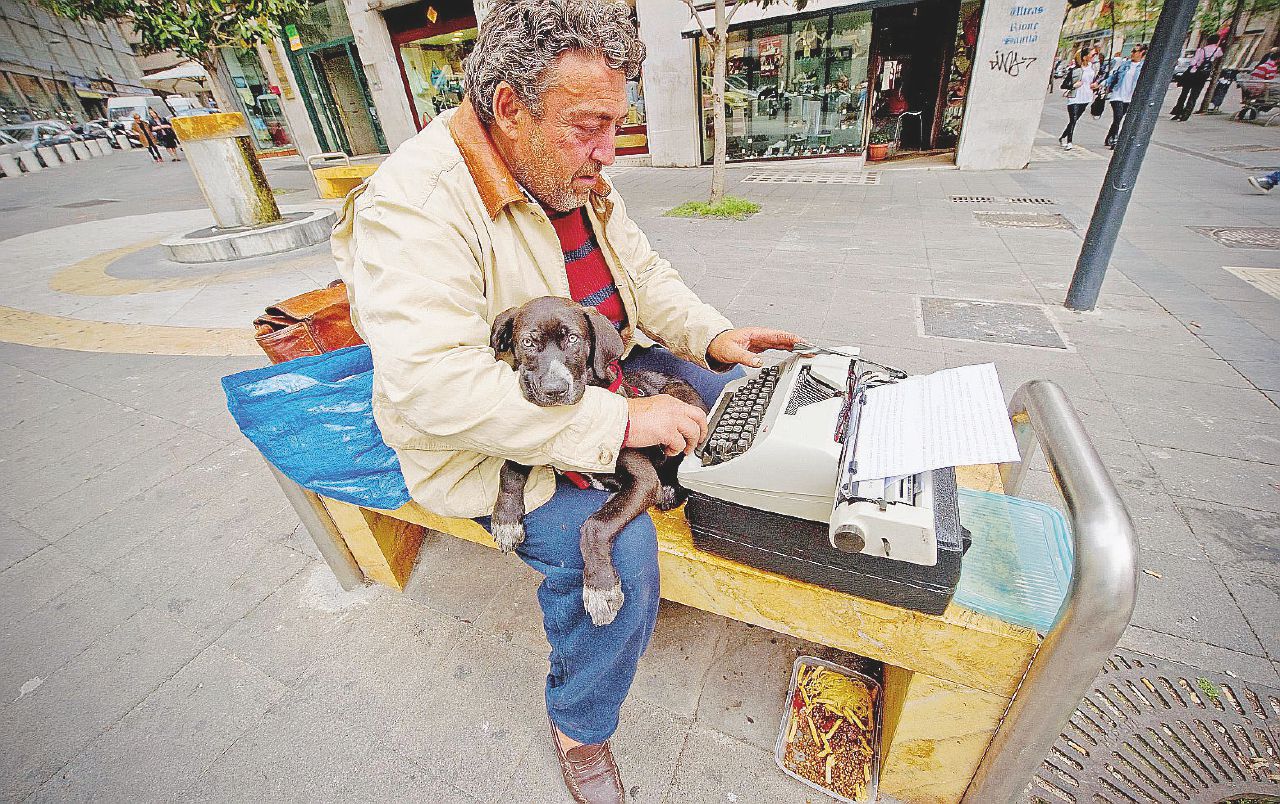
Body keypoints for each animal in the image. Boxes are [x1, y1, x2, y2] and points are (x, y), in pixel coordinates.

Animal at [488, 297, 711, 627]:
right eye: (528, 342)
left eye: (573, 339)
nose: (555, 390)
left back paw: (670, 491)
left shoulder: (644, 480)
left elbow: (595, 524)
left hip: (682, 409)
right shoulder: (537, 440)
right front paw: (505, 520)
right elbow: (510, 469)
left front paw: (599, 588)